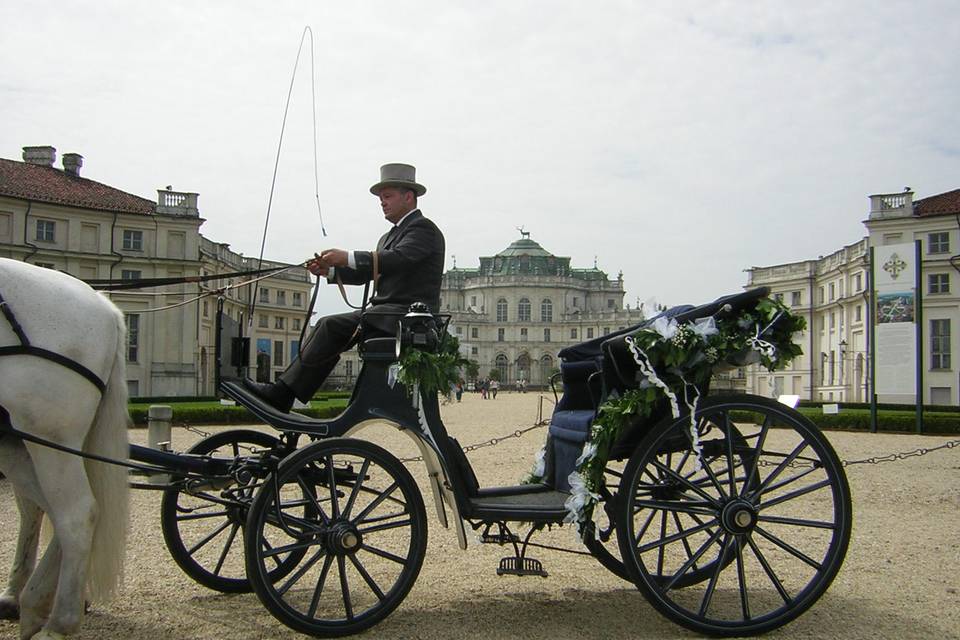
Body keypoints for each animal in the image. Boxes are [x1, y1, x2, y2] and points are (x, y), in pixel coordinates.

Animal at [0, 258, 128, 636]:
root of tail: (105, 305)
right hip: (22, 439)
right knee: (51, 508)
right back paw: (32, 603)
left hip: (48, 434)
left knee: (77, 512)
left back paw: (58, 622)